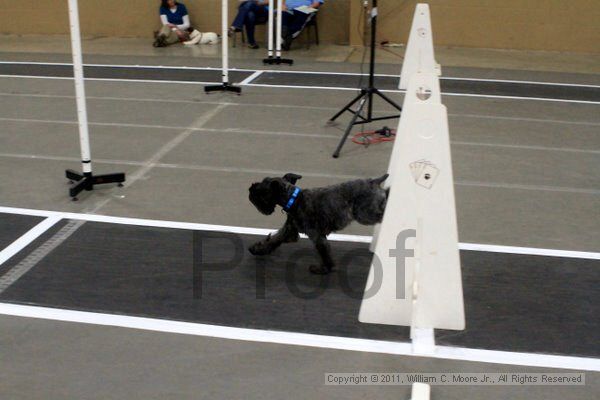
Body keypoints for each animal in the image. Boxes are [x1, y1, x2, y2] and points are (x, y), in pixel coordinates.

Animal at [248, 173, 390, 274]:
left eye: (262, 190)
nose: (250, 189)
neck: (294, 200)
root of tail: (374, 181)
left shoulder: (317, 236)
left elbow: (324, 252)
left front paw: (324, 269)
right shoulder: (289, 231)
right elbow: (273, 240)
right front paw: (257, 249)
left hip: (365, 214)